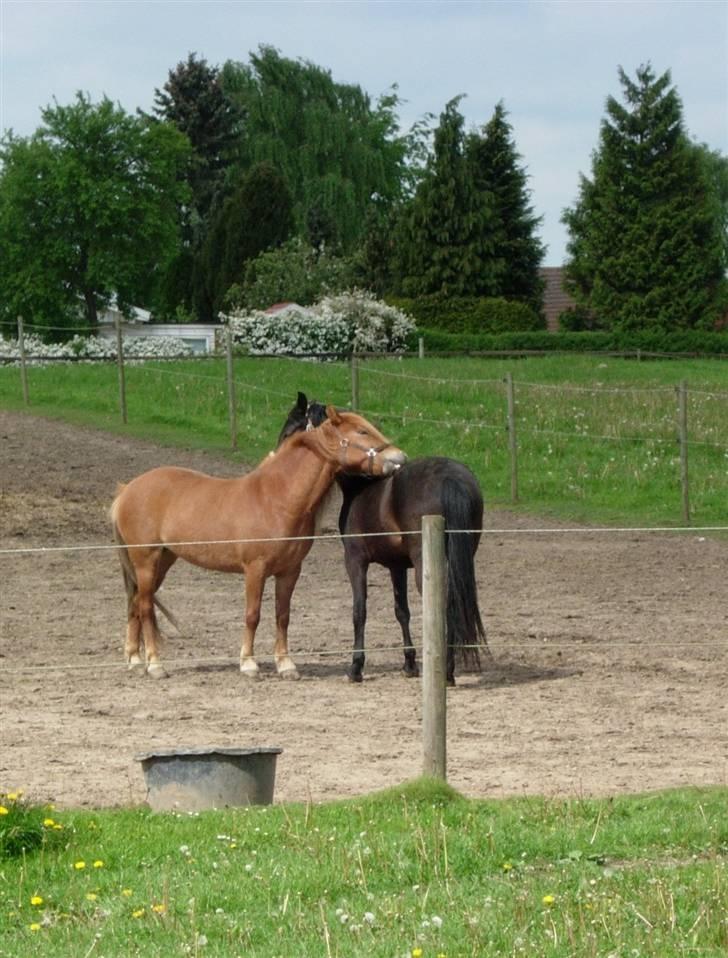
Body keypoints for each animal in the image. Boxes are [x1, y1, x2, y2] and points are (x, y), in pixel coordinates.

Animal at [114, 404, 410, 684]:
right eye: (362, 431)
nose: (400, 458)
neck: (276, 499)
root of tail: (127, 490)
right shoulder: (255, 570)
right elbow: (252, 615)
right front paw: (249, 664)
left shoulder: (290, 571)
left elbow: (283, 615)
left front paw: (286, 665)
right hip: (147, 561)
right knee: (145, 607)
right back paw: (154, 665)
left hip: (163, 560)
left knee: (136, 604)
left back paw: (135, 660)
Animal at [278, 394, 490, 688]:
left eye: (290, 431)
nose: (279, 457)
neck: (362, 486)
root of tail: (451, 479)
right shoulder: (397, 566)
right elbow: (401, 611)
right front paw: (409, 664)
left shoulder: (355, 560)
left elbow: (359, 611)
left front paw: (356, 667)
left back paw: (444, 672)